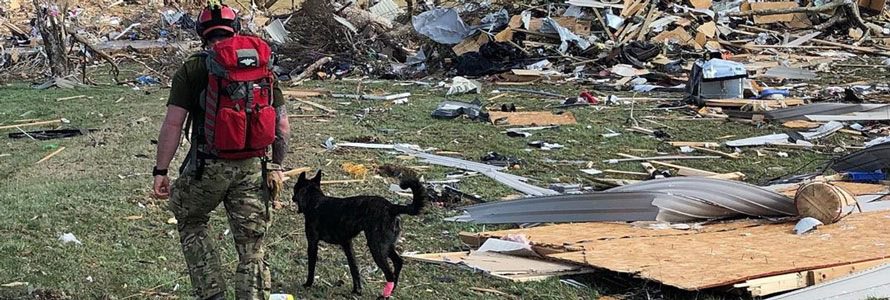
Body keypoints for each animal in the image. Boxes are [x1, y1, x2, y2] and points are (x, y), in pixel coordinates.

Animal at [294, 170, 424, 296]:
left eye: (295, 188)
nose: (292, 197)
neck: (314, 199)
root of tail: (391, 206)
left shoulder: (312, 243)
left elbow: (311, 267)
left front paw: (308, 284)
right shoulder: (347, 244)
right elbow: (354, 268)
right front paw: (357, 290)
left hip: (376, 248)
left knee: (389, 274)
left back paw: (384, 296)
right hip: (385, 246)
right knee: (398, 262)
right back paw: (392, 290)